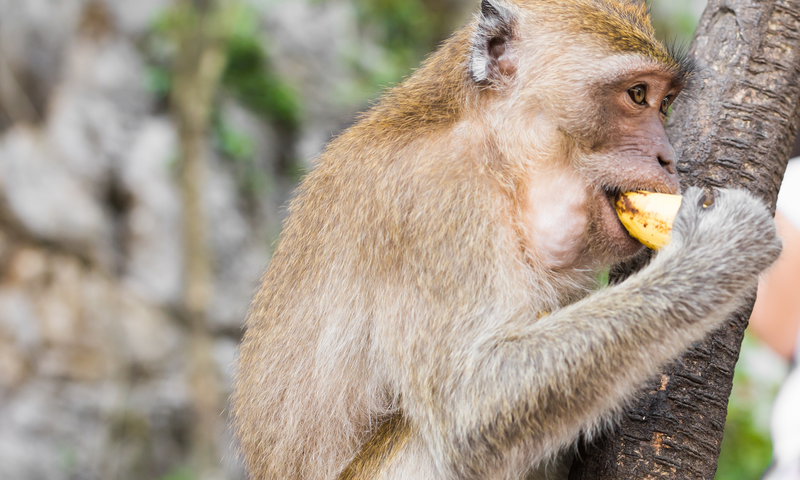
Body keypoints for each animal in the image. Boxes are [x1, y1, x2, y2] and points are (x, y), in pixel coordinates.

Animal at [232, 1, 782, 479]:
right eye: (637, 95)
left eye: (665, 103)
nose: (668, 159)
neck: (500, 160)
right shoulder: (437, 199)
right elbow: (468, 409)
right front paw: (716, 252)